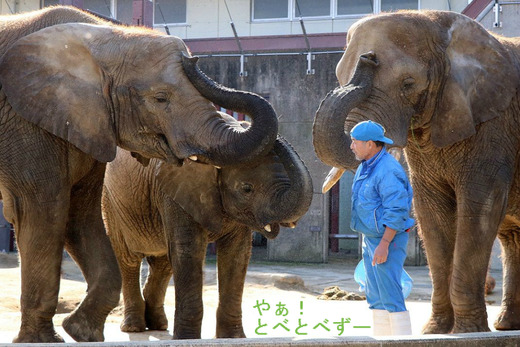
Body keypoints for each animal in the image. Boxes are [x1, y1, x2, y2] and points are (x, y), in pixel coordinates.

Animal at [0, 6, 280, 344]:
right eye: (161, 98)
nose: (192, 58)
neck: (105, 38)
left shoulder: (85, 124)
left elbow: (78, 214)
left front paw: (80, 331)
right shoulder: (24, 121)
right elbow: (43, 210)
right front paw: (44, 340)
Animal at [102, 121, 312, 338]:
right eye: (247, 189)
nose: (245, 122)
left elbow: (237, 254)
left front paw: (232, 338)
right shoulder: (176, 191)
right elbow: (188, 250)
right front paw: (187, 339)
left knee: (163, 263)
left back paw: (158, 325)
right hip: (111, 202)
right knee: (128, 259)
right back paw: (134, 327)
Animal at [312, 10, 520, 334]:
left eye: (408, 83)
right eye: (339, 76)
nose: (368, 59)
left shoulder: (494, 127)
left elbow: (478, 212)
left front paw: (466, 332)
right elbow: (431, 216)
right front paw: (436, 331)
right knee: (511, 236)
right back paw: (507, 324)